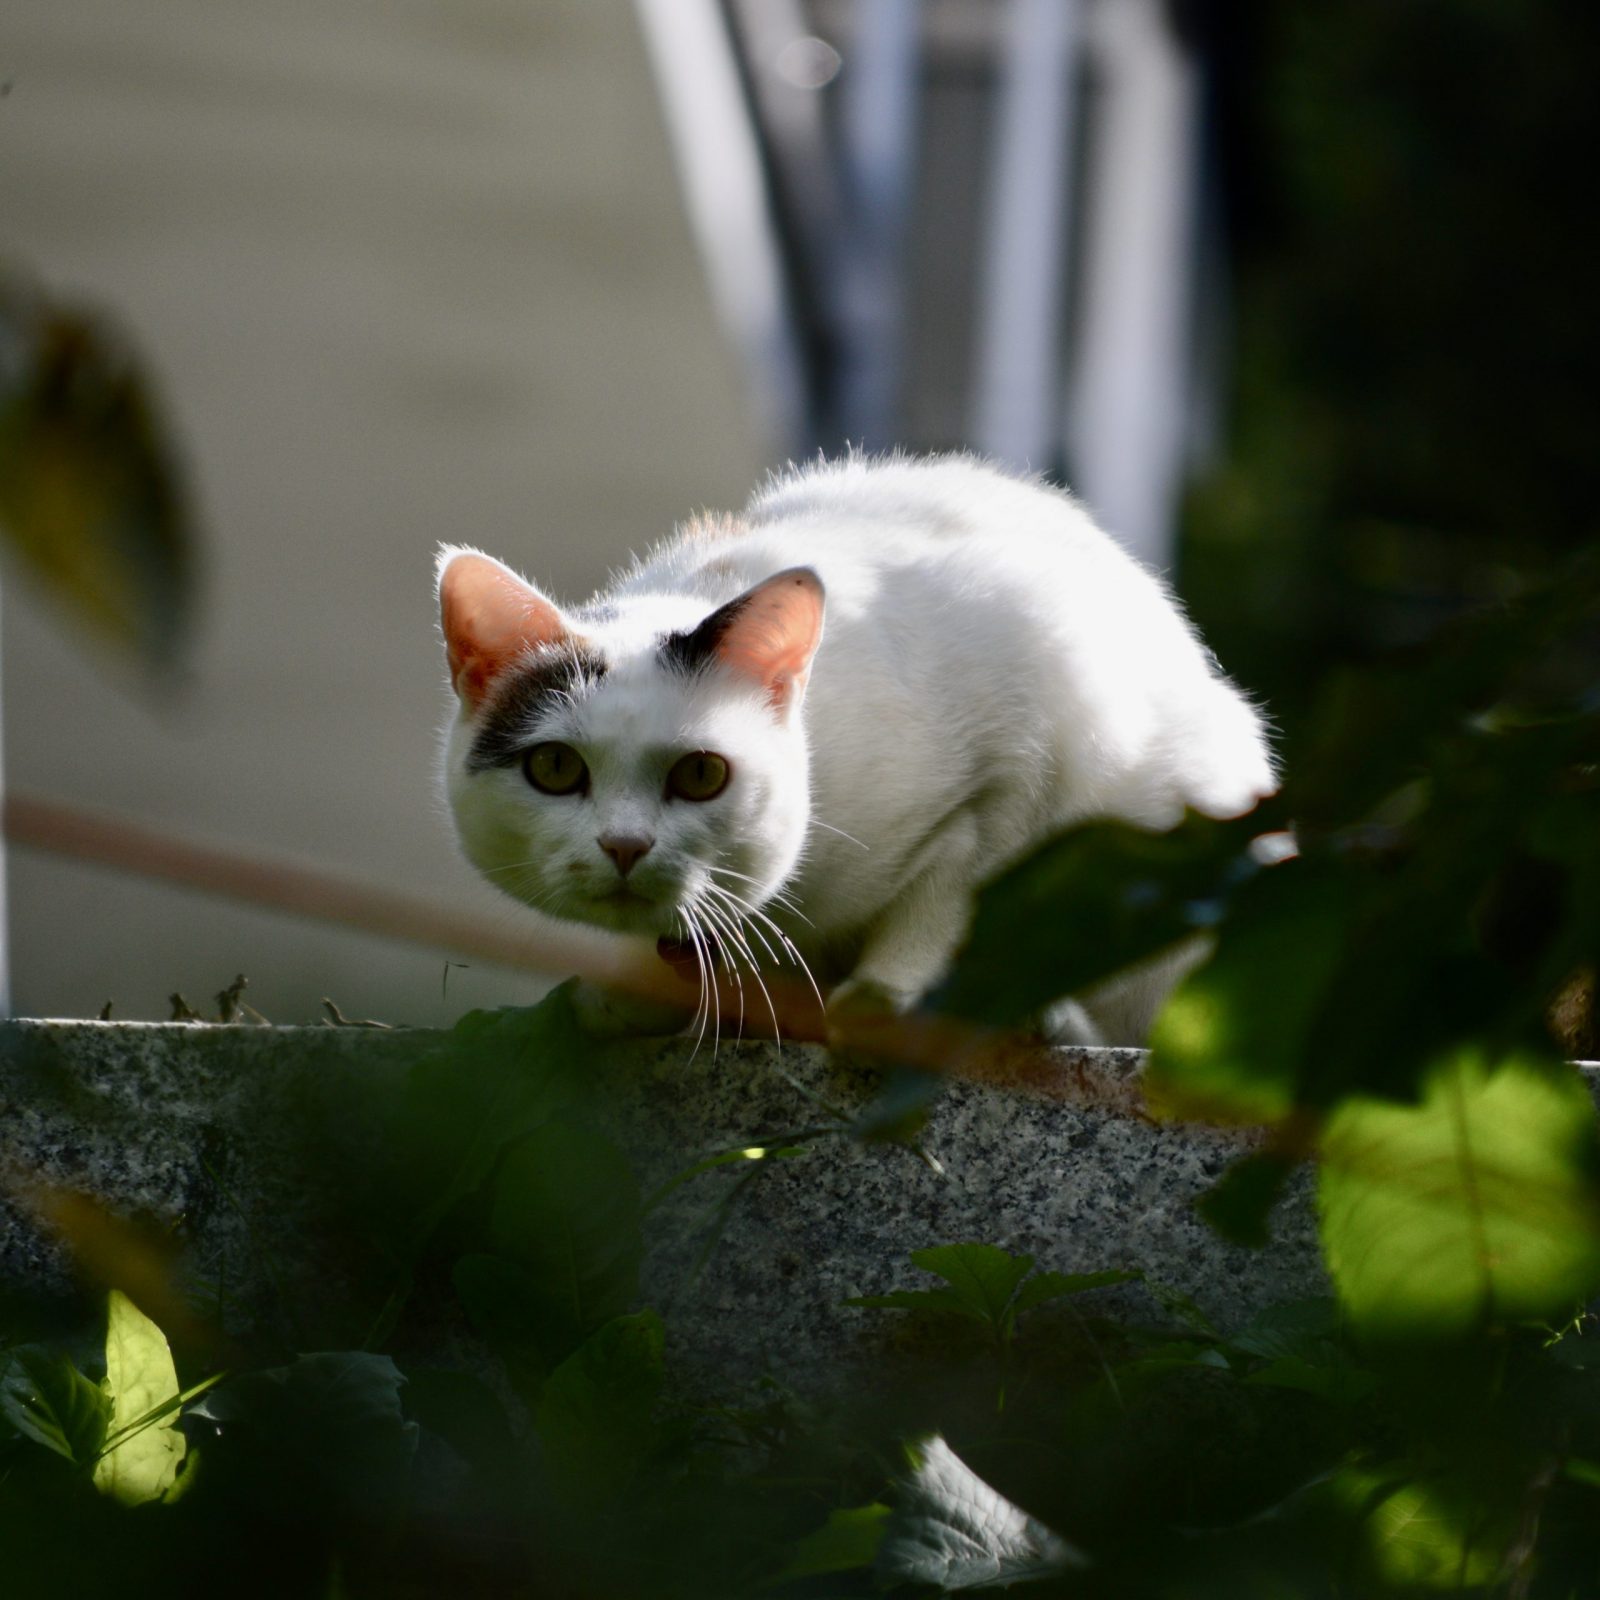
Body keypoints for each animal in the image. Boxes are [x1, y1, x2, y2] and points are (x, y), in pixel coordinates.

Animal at [432, 457, 1267, 1043]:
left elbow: (956, 881)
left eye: (701, 774)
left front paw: (883, 997)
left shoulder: (1036, 727)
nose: (625, 846)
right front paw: (640, 996)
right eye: (555, 768)